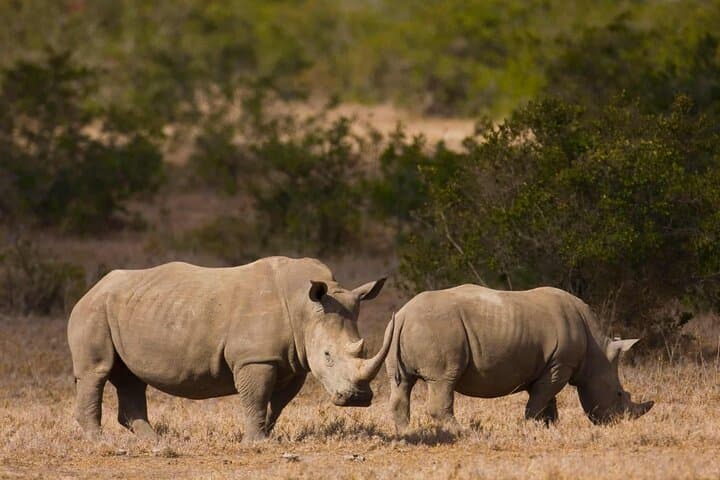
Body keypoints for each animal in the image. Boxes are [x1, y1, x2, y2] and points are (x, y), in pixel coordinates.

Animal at [68, 257, 394, 443]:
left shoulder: (293, 361)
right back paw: (103, 443)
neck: (304, 306)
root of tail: (91, 288)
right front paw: (257, 443)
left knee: (131, 378)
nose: (358, 399)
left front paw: (267, 435)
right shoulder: (255, 359)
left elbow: (277, 404)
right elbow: (256, 398)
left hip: (125, 308)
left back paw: (154, 442)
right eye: (327, 356)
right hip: (93, 310)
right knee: (96, 372)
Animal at [385, 285, 654, 433]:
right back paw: (462, 431)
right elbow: (540, 398)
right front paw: (532, 425)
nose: (619, 423)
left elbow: (547, 399)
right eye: (619, 395)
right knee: (443, 381)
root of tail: (405, 314)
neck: (596, 352)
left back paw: (405, 433)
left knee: (402, 383)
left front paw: (549, 426)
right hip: (439, 329)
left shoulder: (550, 365)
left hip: (400, 328)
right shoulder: (561, 364)